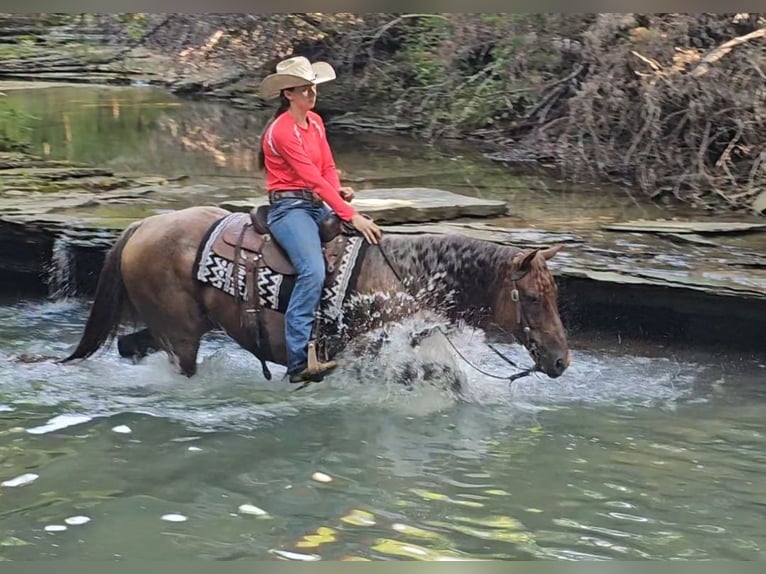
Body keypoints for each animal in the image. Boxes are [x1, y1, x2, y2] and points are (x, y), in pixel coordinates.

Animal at [63, 205, 572, 384]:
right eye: (531, 297)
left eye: (554, 296)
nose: (561, 360)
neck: (404, 277)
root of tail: (143, 225)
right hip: (182, 334)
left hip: (173, 327)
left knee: (130, 344)